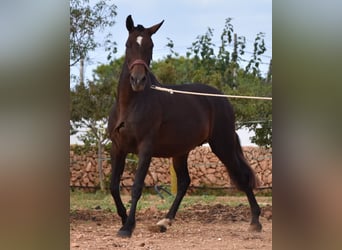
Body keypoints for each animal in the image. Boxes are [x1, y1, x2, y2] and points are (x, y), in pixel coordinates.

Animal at [108, 14, 264, 237]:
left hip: (222, 145)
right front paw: (123, 220)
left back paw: (255, 222)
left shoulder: (145, 148)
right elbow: (113, 186)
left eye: (150, 46)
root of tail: (222, 99)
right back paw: (165, 221)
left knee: (241, 177)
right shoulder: (118, 148)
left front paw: (128, 227)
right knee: (184, 183)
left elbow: (136, 186)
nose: (138, 80)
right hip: (181, 152)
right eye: (128, 45)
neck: (131, 104)